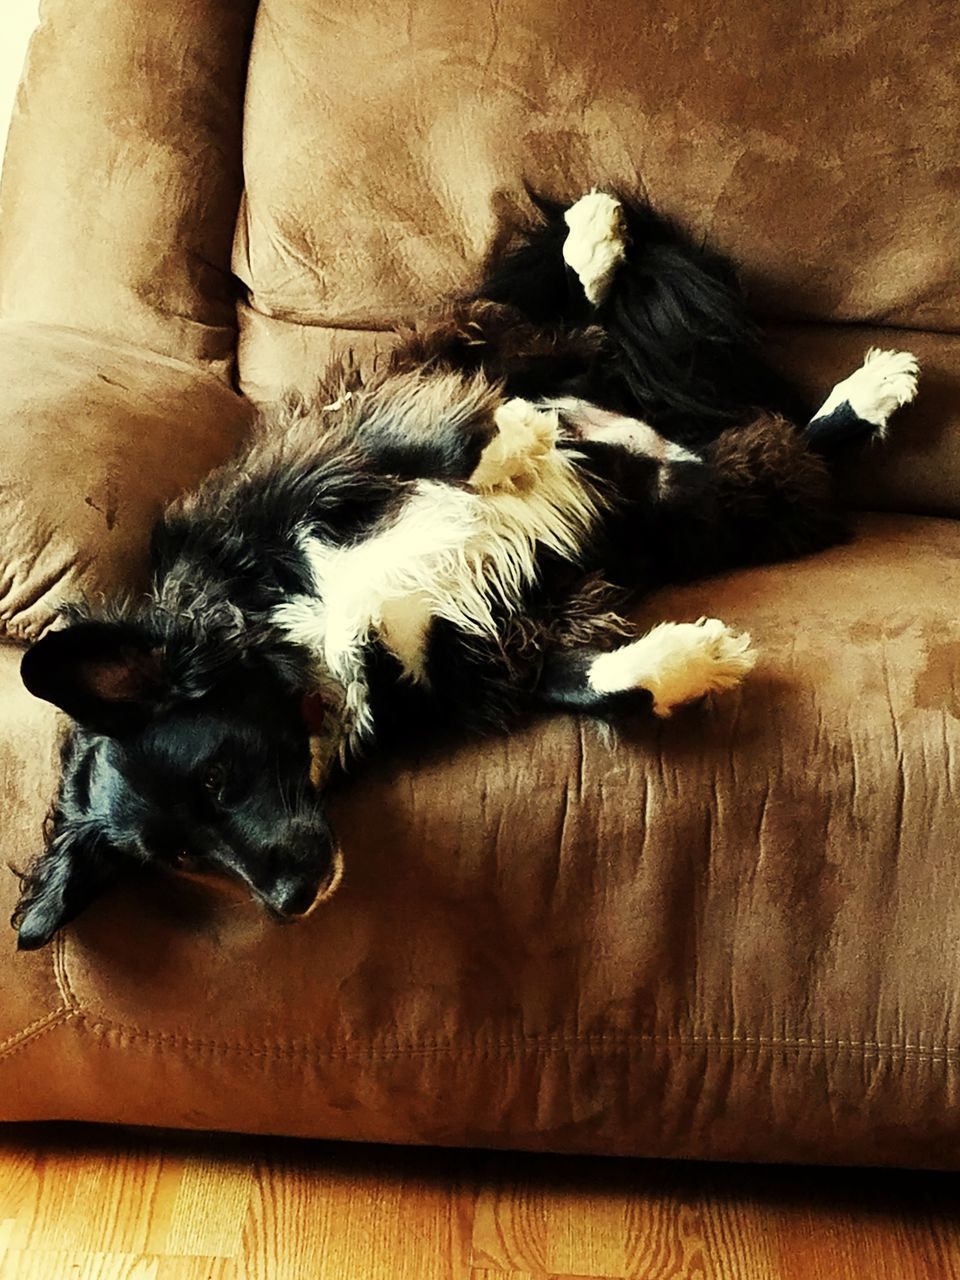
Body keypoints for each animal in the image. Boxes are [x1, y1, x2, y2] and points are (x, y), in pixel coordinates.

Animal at [11, 192, 921, 952]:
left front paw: (515, 441)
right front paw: (686, 662)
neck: (290, 635)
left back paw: (601, 246)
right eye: (179, 862)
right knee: (774, 454)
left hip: (486, 348)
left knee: (542, 326)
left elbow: (444, 441)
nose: (293, 902)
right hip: (697, 507)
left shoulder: (318, 459)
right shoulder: (470, 658)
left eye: (217, 777)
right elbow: (579, 682)